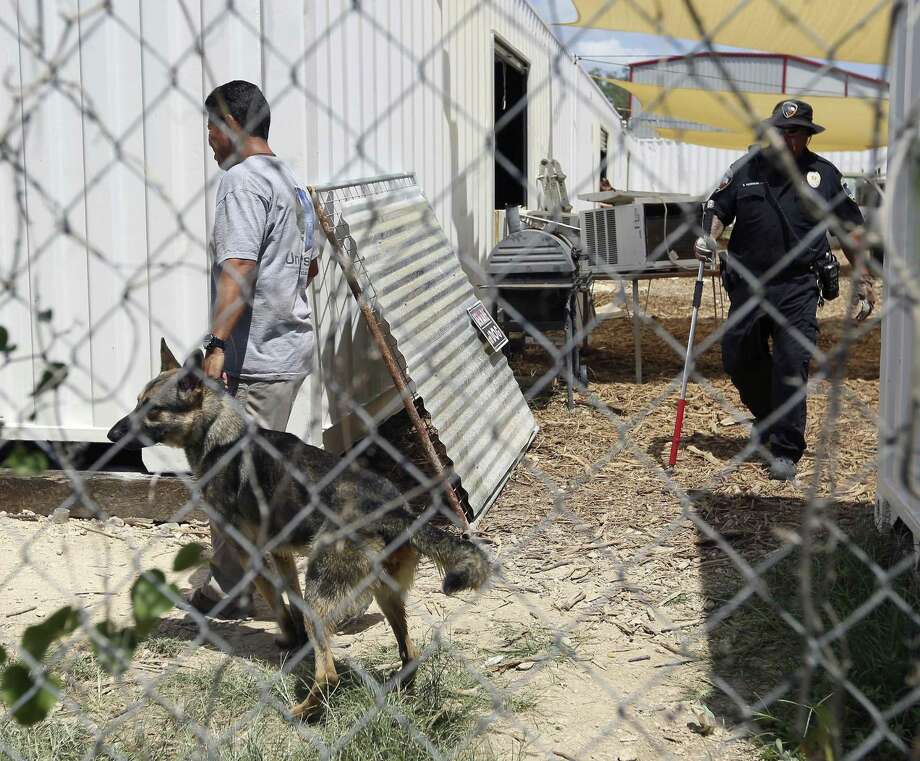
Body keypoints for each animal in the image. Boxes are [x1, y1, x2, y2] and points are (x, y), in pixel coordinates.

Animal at [108, 342, 488, 716]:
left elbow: (276, 602)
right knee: (408, 651)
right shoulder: (282, 553)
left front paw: (290, 638)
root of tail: (394, 512)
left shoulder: (251, 554)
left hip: (326, 591)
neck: (223, 435)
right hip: (386, 595)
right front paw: (296, 640)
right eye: (137, 402)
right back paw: (399, 693)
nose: (111, 436)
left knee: (330, 674)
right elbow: (291, 597)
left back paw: (302, 712)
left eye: (153, 409)